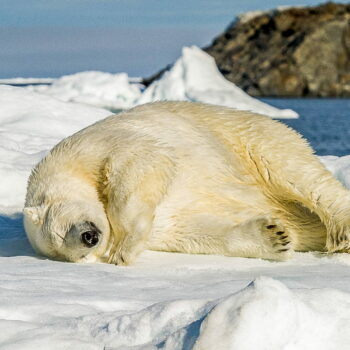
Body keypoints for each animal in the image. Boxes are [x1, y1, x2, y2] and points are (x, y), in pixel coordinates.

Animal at [23, 102, 350, 266]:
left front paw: (123, 251)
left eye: (63, 227)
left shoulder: (92, 147)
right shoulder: (167, 226)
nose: (89, 237)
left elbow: (143, 160)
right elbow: (194, 229)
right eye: (77, 253)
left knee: (294, 170)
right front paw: (275, 236)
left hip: (244, 136)